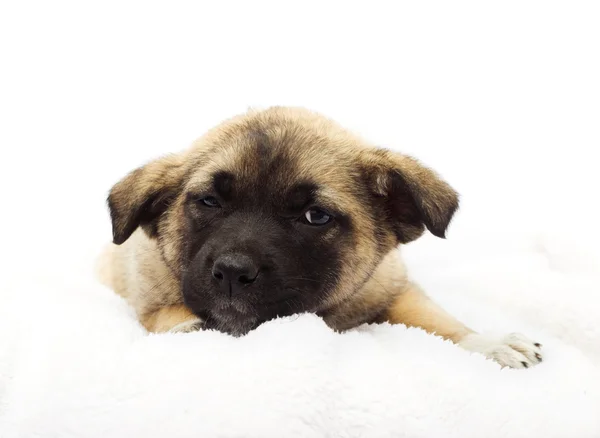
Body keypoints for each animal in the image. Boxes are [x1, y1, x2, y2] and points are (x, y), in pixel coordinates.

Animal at [97, 107, 544, 370]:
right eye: (208, 202)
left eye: (315, 216)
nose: (233, 273)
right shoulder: (148, 299)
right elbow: (172, 315)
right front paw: (191, 327)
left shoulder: (393, 288)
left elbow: (440, 321)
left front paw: (491, 343)